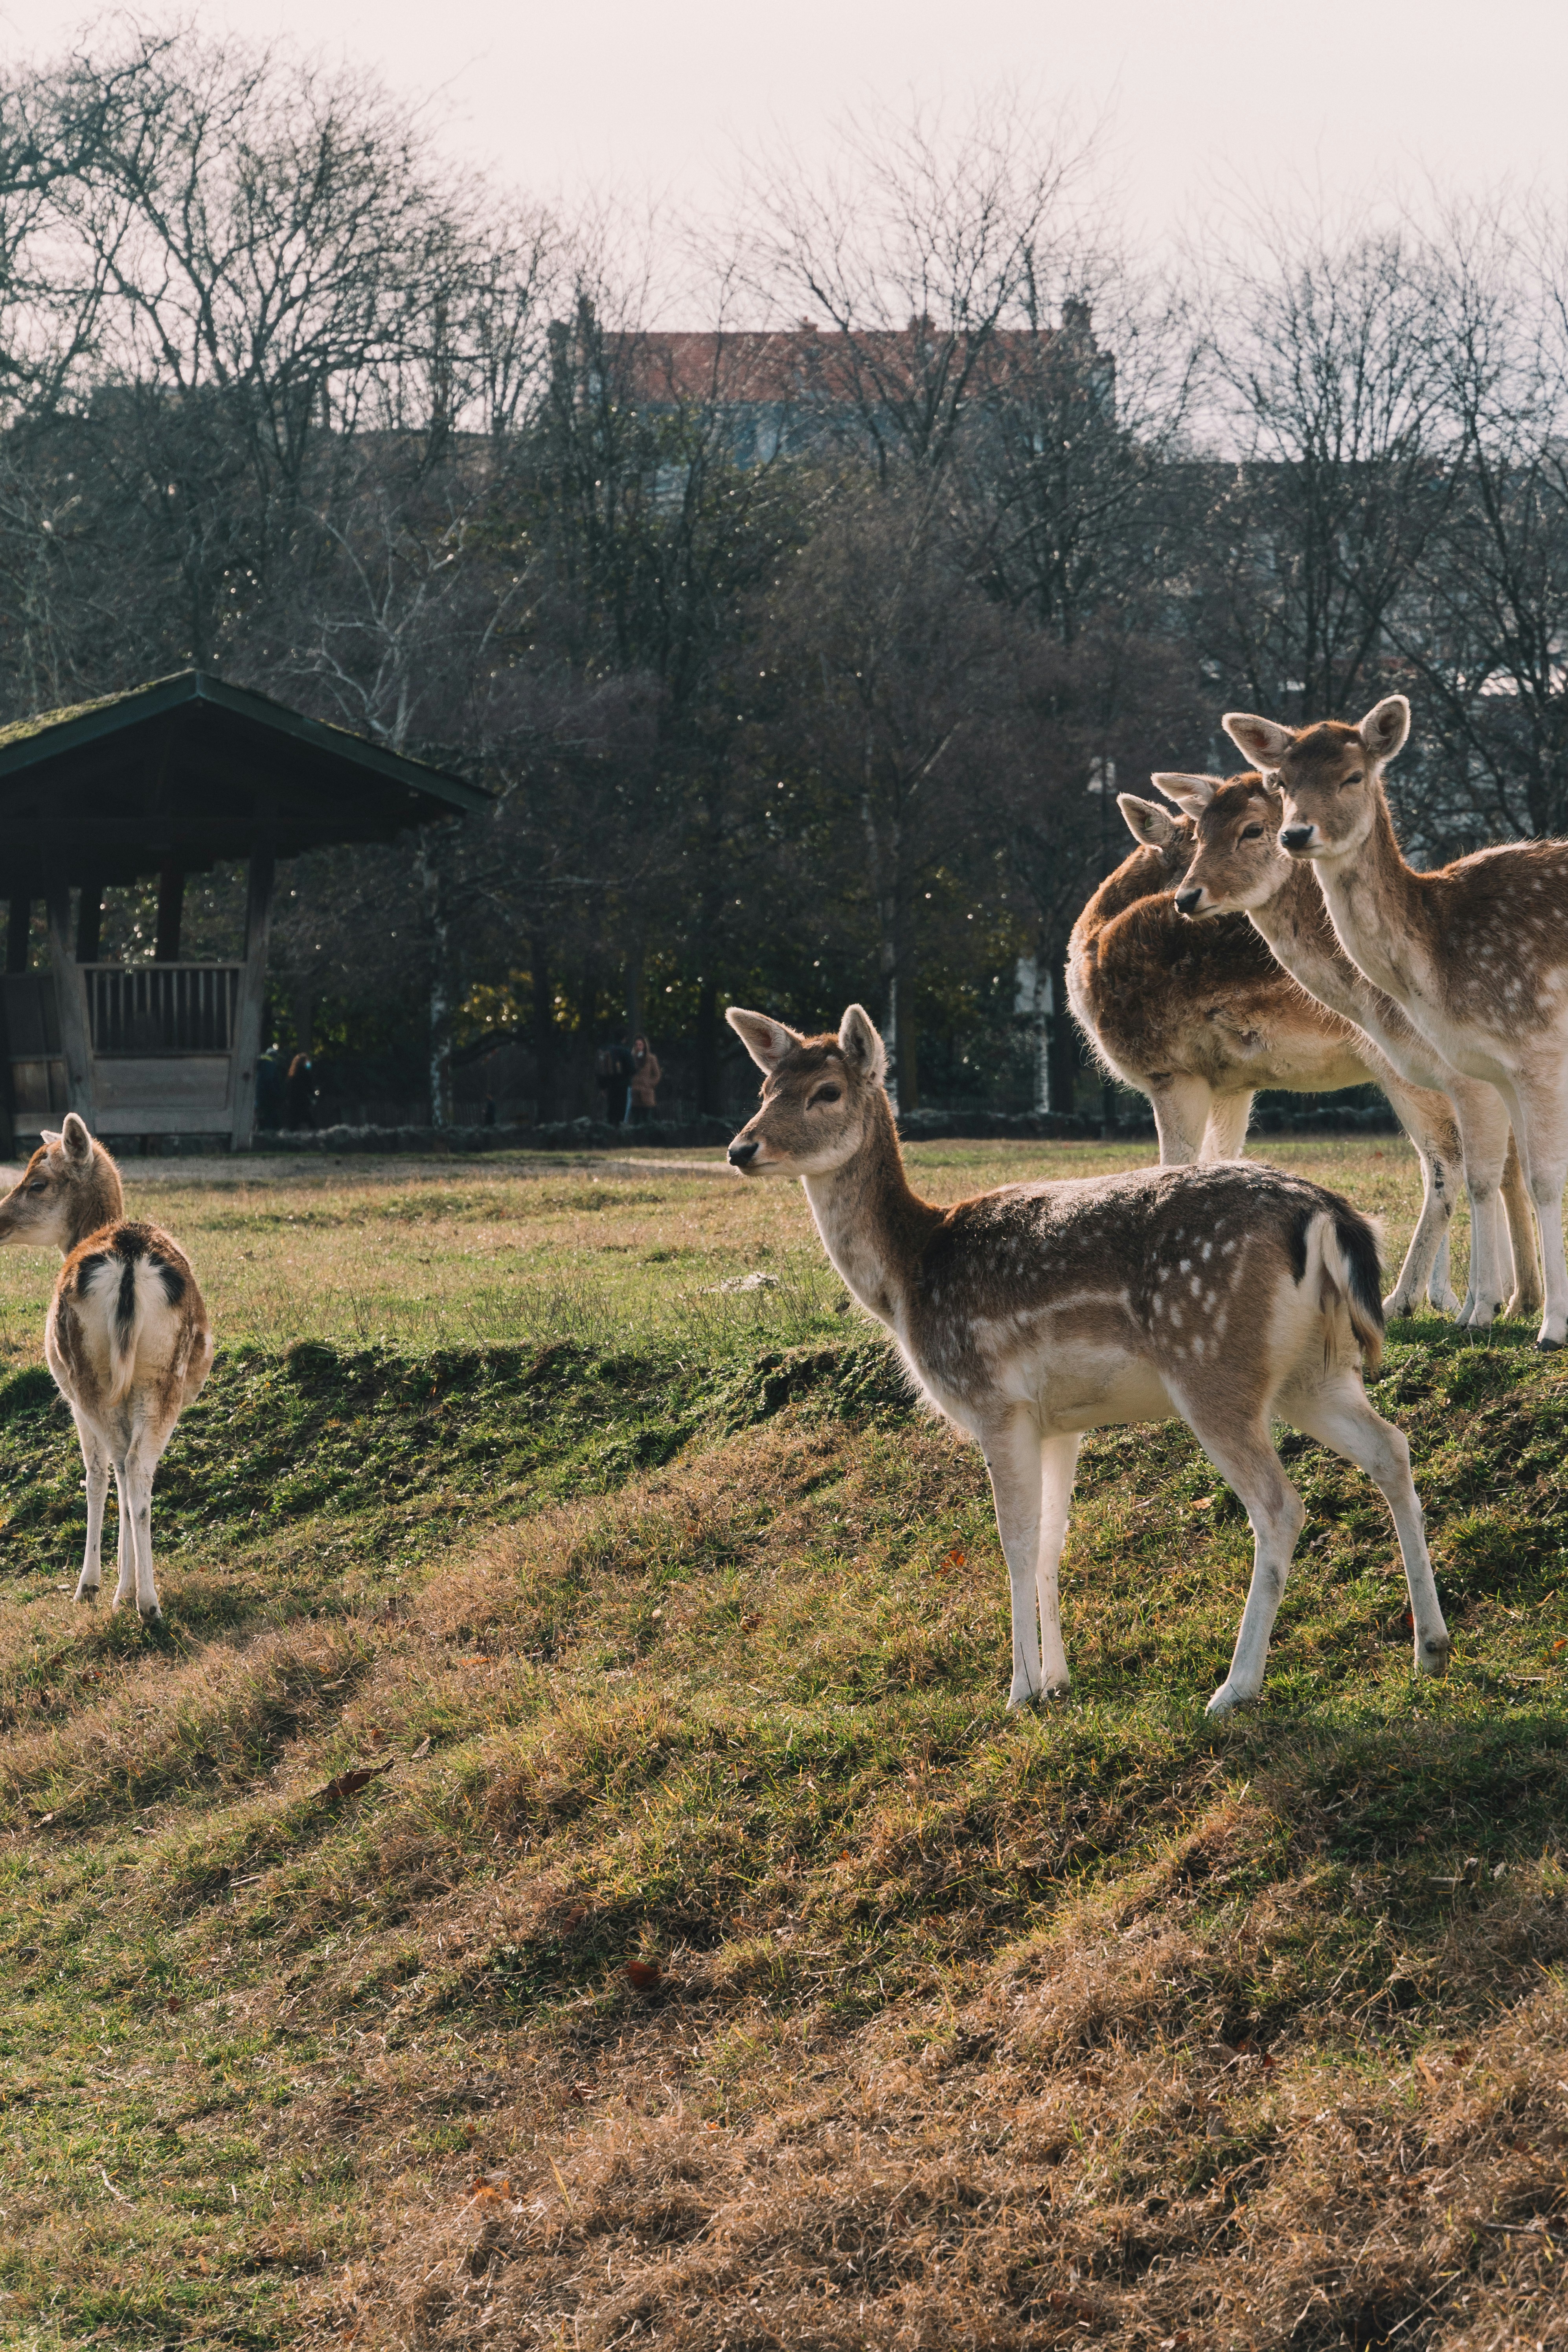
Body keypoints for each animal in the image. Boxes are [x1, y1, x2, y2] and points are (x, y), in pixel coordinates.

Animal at [0, 1114, 213, 1619]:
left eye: (37, 1182)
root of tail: (129, 1255)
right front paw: (119, 1581)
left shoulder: (75, 1401)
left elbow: (95, 1476)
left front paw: (92, 1585)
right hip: (160, 1377)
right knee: (139, 1468)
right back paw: (147, 1598)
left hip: (89, 1376)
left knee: (120, 1464)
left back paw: (134, 1597)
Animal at [724, 1002, 1451, 1717]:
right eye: (764, 1089)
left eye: (826, 1091)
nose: (739, 1148)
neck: (909, 1279)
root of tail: (1326, 1214)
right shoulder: (1059, 1421)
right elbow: (1052, 1540)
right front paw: (1057, 1679)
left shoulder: (994, 1401)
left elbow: (1015, 1541)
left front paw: (1018, 1690)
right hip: (1313, 1372)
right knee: (1390, 1447)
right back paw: (1430, 1647)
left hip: (1212, 1362)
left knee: (1278, 1505)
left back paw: (1234, 1686)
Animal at [1070, 796, 1471, 1317]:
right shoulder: (1232, 1086)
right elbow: (1218, 1160)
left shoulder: (1170, 1070)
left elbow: (1173, 1165)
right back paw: (1465, 1299)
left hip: (1404, 1062)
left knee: (1447, 1162)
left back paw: (1403, 1301)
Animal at [1157, 768, 1542, 1331]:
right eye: (1199, 831)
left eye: (1252, 829)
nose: (1186, 897)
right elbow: (1472, 1168)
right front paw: (1467, 1300)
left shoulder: (1454, 1076)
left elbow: (1458, 1171)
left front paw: (1451, 1304)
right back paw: (1521, 1298)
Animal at [1216, 694, 1568, 1346]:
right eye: (1282, 782)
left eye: (1354, 776)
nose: (1296, 832)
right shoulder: (1490, 1069)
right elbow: (1491, 1173)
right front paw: (1487, 1309)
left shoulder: (1534, 1049)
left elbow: (1540, 1178)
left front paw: (1549, 1325)